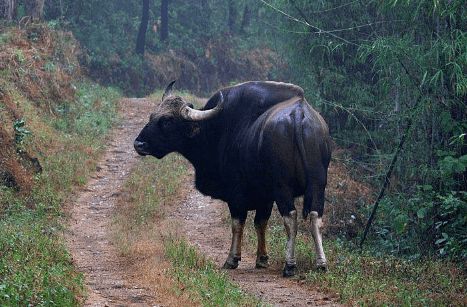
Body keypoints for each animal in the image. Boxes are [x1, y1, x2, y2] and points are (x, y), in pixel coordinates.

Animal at [134, 81, 332, 276]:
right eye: (152, 116)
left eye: (167, 121)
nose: (139, 144)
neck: (216, 130)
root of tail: (299, 114)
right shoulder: (265, 197)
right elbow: (260, 223)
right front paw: (262, 259)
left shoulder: (236, 195)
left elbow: (237, 224)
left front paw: (232, 259)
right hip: (318, 184)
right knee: (316, 216)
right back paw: (321, 263)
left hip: (282, 187)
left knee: (290, 218)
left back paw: (290, 265)